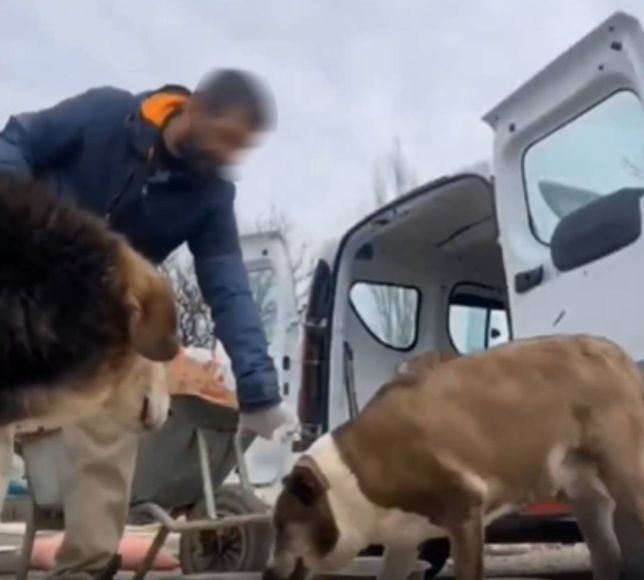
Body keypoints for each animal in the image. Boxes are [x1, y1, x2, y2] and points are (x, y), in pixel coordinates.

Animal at [266, 336, 644, 580]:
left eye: (283, 525)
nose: (267, 573)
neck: (352, 475)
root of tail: (619, 356)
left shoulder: (465, 514)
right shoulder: (403, 543)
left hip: (628, 480)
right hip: (586, 498)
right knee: (609, 560)